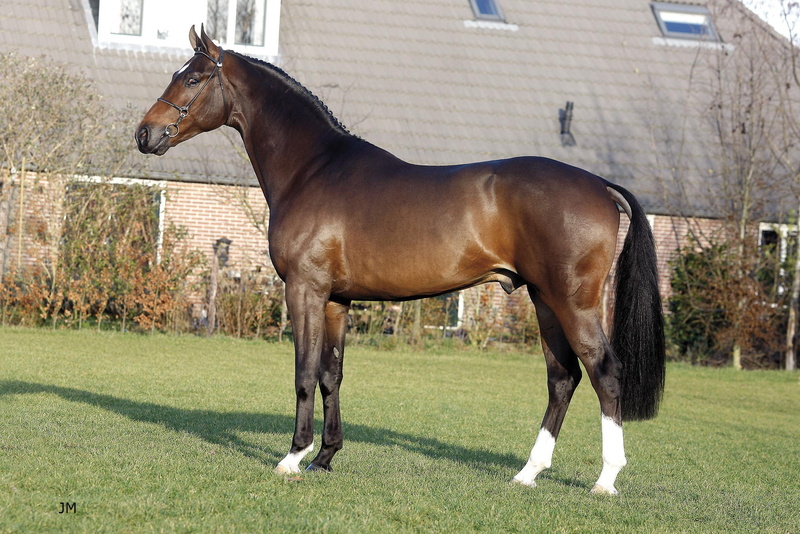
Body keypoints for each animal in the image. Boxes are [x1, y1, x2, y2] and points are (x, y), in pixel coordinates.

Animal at [136, 25, 665, 495]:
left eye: (193, 78)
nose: (145, 133)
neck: (312, 168)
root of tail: (599, 185)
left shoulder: (305, 290)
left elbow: (304, 374)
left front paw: (293, 457)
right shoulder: (337, 300)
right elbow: (330, 375)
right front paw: (325, 457)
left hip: (573, 303)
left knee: (604, 373)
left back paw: (605, 480)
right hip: (543, 301)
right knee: (563, 378)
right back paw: (528, 473)